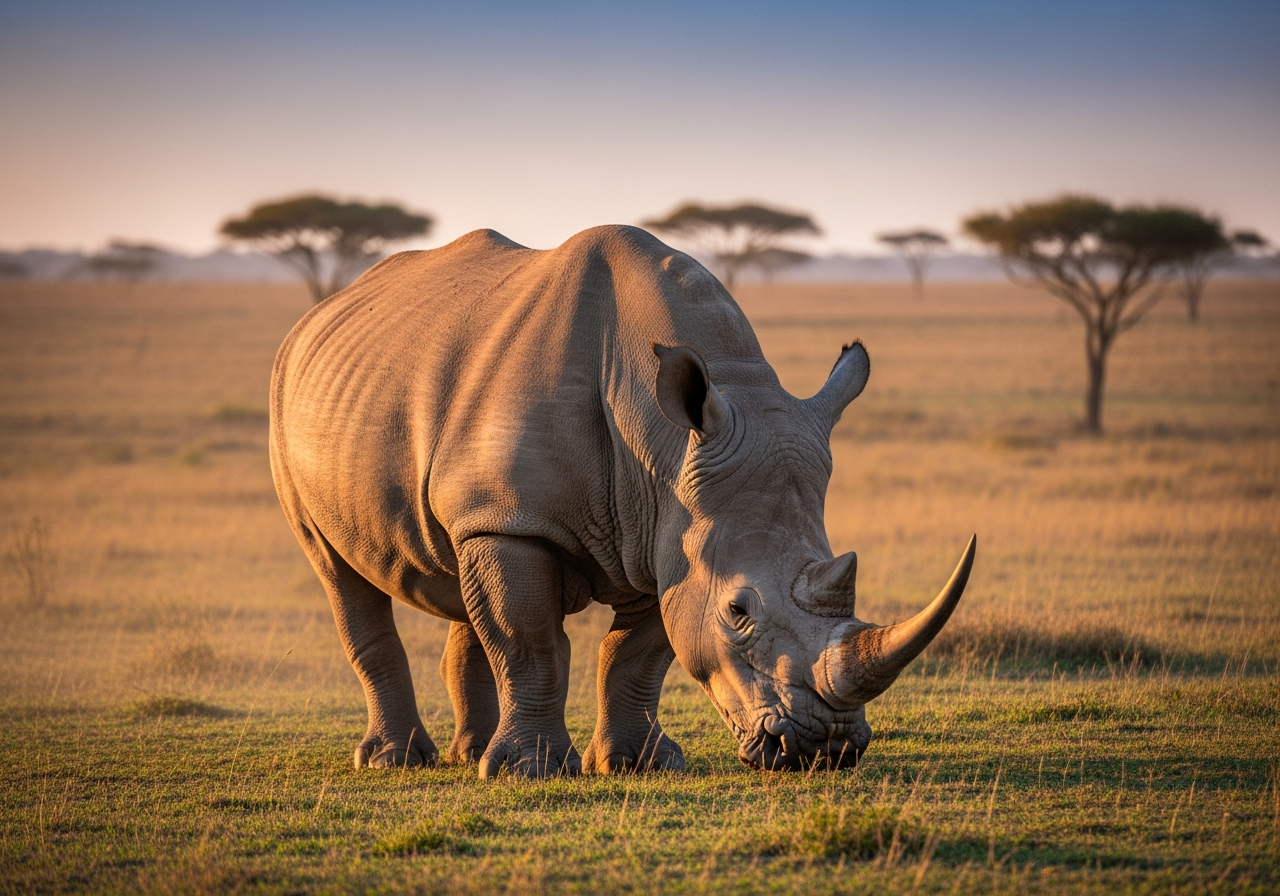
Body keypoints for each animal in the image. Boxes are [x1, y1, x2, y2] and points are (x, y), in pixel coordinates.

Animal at [269, 225, 974, 777]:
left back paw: (469, 755)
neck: (664, 441)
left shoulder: (666, 529)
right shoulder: (524, 523)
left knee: (461, 567)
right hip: (291, 403)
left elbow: (638, 655)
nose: (824, 749)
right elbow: (530, 641)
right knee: (338, 571)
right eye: (738, 612)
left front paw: (639, 764)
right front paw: (529, 772)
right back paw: (397, 760)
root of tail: (316, 317)